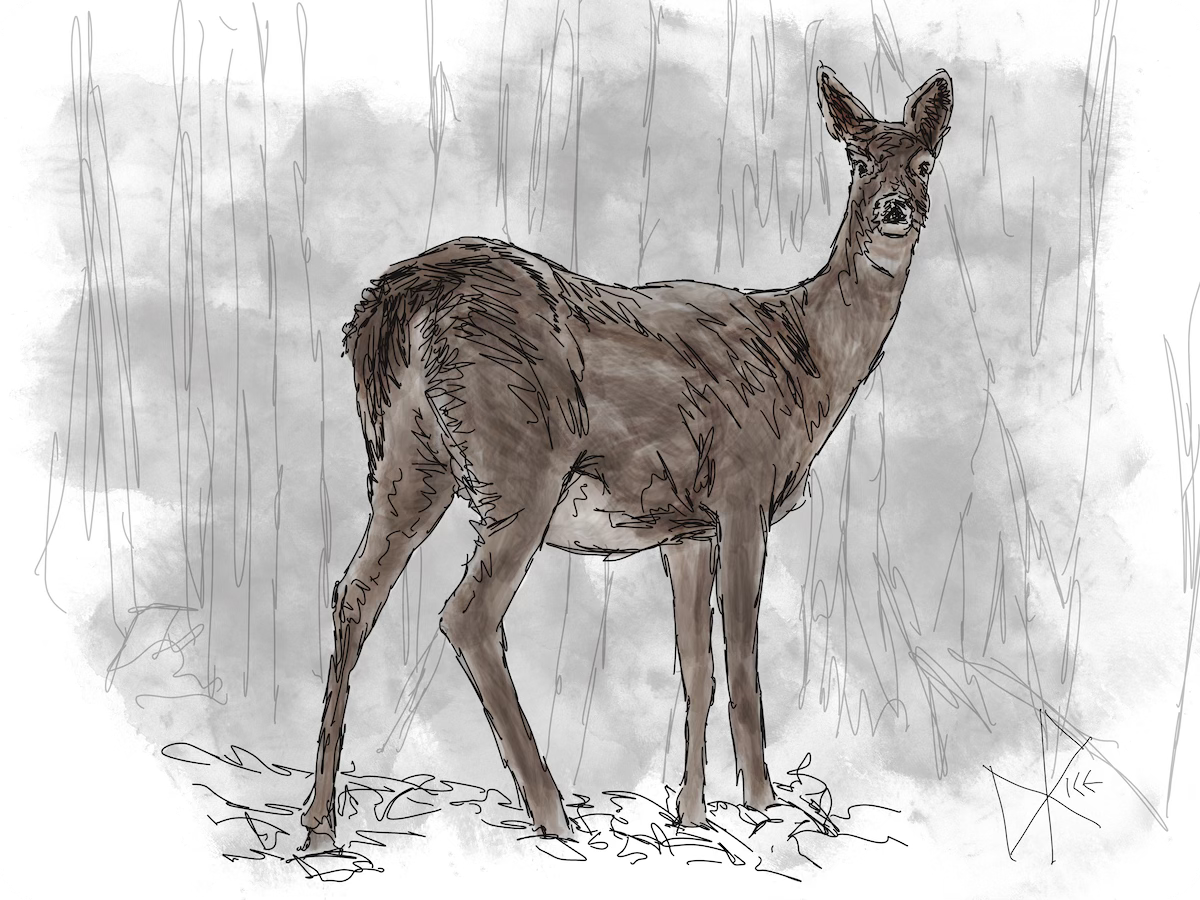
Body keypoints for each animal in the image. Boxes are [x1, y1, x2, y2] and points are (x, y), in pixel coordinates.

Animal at [299, 64, 953, 853]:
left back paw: (318, 823)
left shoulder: (687, 528)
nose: (895, 210)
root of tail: (395, 300)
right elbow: (741, 661)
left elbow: (695, 668)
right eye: (858, 160)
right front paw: (763, 808)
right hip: (518, 460)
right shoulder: (743, 491)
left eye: (925, 161)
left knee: (354, 591)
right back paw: (553, 814)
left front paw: (691, 813)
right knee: (467, 614)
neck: (806, 362)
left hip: (408, 461)